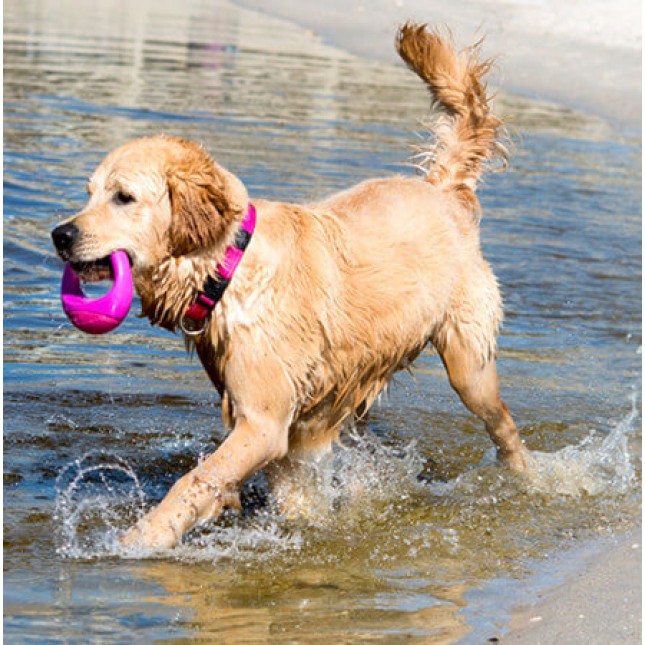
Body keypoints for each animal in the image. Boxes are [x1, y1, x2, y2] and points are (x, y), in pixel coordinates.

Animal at [52, 25, 528, 548]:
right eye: (89, 194)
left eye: (124, 197)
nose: (61, 235)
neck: (230, 268)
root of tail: (442, 190)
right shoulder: (291, 427)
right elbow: (286, 493)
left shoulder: (265, 422)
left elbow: (195, 480)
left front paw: (141, 538)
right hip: (355, 380)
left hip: (469, 362)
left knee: (504, 423)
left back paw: (530, 479)